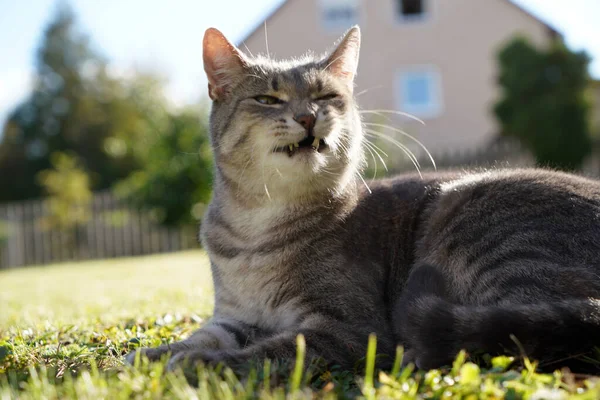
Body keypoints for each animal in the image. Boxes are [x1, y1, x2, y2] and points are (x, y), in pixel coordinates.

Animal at [127, 27, 600, 372]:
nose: (307, 116)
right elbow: (202, 335)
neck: (256, 227)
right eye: (267, 98)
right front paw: (147, 356)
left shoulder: (350, 329)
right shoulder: (235, 316)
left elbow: (266, 353)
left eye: (325, 96)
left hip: (477, 223)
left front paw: (199, 363)